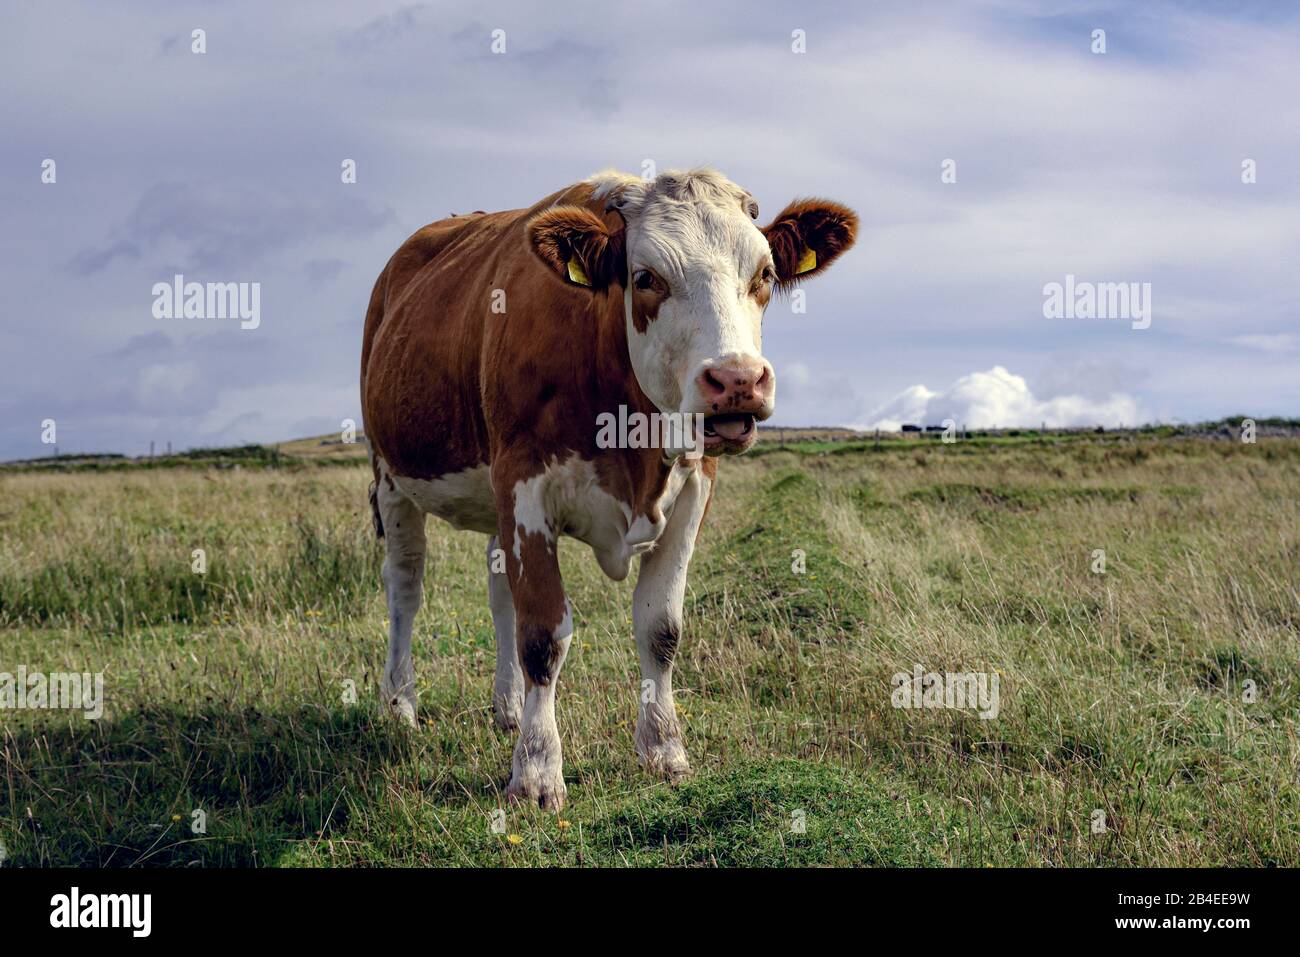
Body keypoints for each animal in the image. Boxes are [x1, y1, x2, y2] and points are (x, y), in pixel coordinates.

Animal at [361, 166, 857, 806]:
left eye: (765, 275)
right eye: (646, 278)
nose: (738, 381)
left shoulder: (695, 488)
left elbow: (660, 628)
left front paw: (663, 748)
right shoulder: (523, 483)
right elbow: (543, 634)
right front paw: (536, 772)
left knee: (498, 591)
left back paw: (508, 710)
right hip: (391, 476)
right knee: (404, 587)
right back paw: (400, 704)